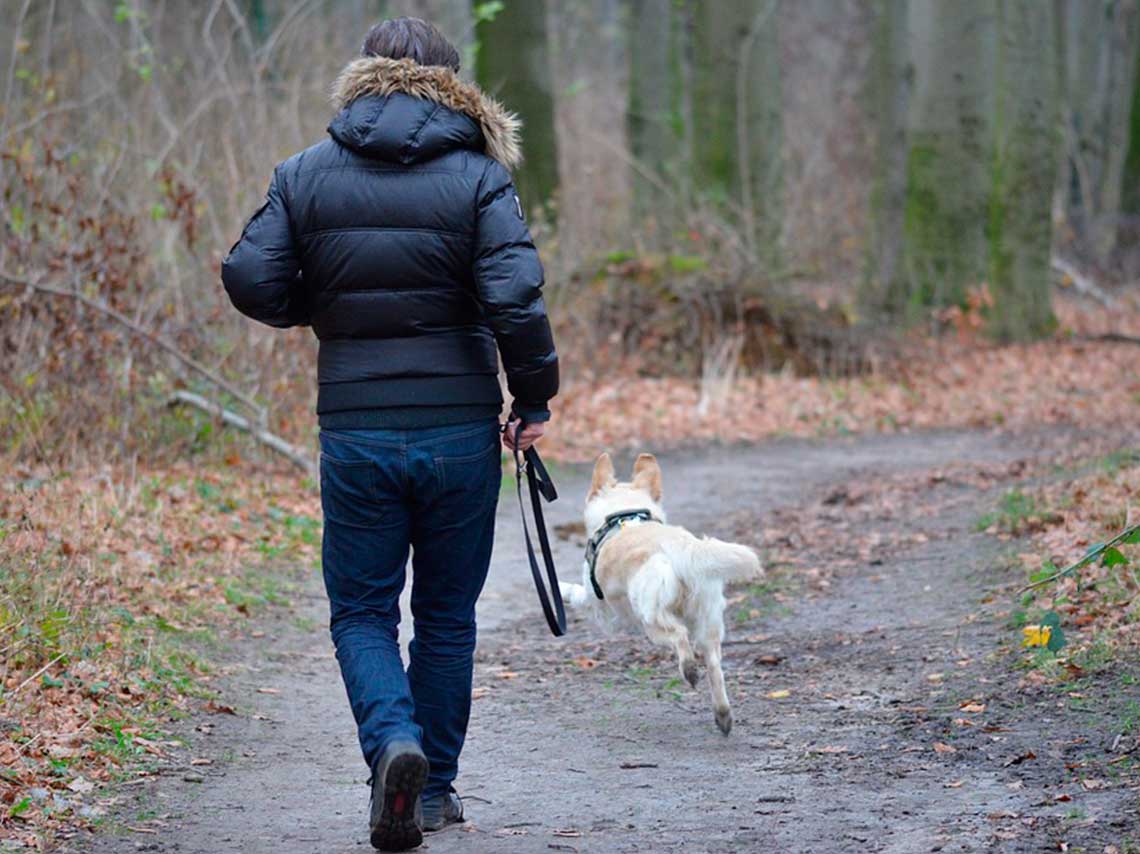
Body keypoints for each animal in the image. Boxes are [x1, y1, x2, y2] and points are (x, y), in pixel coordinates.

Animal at [558, 453, 761, 734]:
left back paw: (689, 670)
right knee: (714, 665)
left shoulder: (597, 605)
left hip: (651, 619)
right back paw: (722, 715)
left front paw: (558, 587)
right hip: (707, 620)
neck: (625, 514)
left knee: (680, 636)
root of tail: (682, 548)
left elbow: (575, 592)